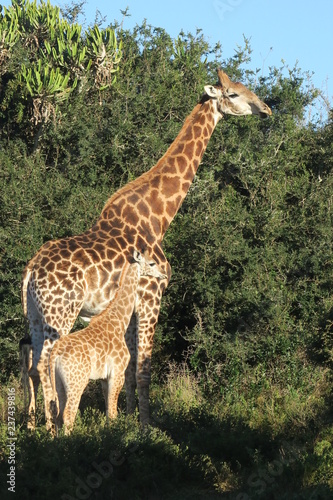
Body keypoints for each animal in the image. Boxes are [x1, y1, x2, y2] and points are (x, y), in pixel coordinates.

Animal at [48, 250, 166, 434]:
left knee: (58, 415)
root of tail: (55, 354)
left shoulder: (104, 378)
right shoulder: (117, 372)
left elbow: (108, 412)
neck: (119, 321)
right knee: (68, 415)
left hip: (59, 382)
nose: (163, 274)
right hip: (77, 382)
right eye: (152, 263)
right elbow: (113, 413)